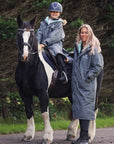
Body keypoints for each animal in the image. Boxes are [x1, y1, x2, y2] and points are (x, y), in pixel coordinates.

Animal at [15, 15, 103, 143]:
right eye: (19, 34)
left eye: (31, 35)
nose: (25, 56)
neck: (30, 68)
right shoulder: (24, 93)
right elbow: (29, 112)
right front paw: (28, 135)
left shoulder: (43, 93)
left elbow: (45, 114)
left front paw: (47, 137)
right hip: (72, 93)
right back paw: (71, 133)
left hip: (94, 92)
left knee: (93, 110)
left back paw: (90, 136)